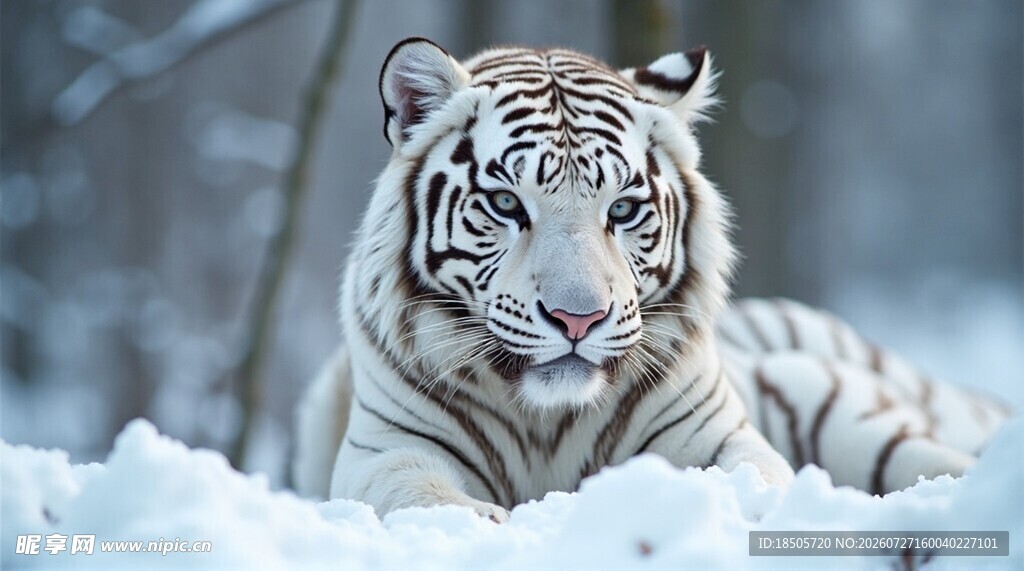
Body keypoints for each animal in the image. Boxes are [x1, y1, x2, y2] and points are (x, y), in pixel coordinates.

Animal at [292, 38, 1011, 522]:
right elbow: (424, 497)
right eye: (505, 203)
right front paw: (488, 524)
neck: (545, 422)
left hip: (838, 408)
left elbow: (757, 478)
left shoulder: (716, 433)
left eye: (622, 209)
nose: (577, 319)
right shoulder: (386, 452)